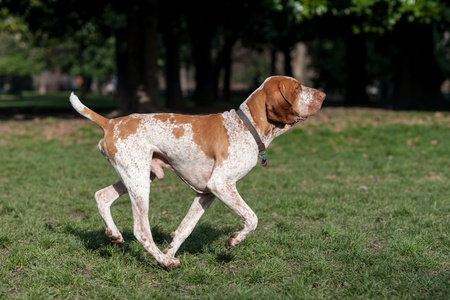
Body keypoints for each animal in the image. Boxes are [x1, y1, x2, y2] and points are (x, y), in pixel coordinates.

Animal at [69, 75, 324, 268]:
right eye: (297, 88)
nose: (322, 95)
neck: (246, 125)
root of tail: (110, 123)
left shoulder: (206, 193)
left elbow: (185, 229)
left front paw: (170, 251)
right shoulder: (221, 185)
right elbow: (251, 219)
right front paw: (233, 240)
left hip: (139, 176)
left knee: (102, 196)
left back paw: (115, 234)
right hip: (139, 182)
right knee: (141, 230)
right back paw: (163, 261)